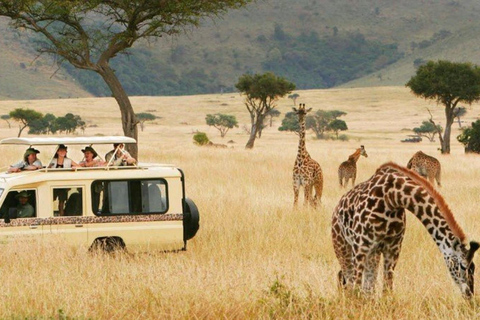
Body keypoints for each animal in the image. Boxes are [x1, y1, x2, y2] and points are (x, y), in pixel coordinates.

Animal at [332, 161, 478, 298]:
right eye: (463, 266)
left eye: (474, 267)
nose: (469, 294)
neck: (392, 197)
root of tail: (336, 208)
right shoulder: (360, 247)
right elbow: (356, 288)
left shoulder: (393, 248)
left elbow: (387, 290)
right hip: (343, 247)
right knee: (348, 281)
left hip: (373, 254)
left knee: (367, 287)